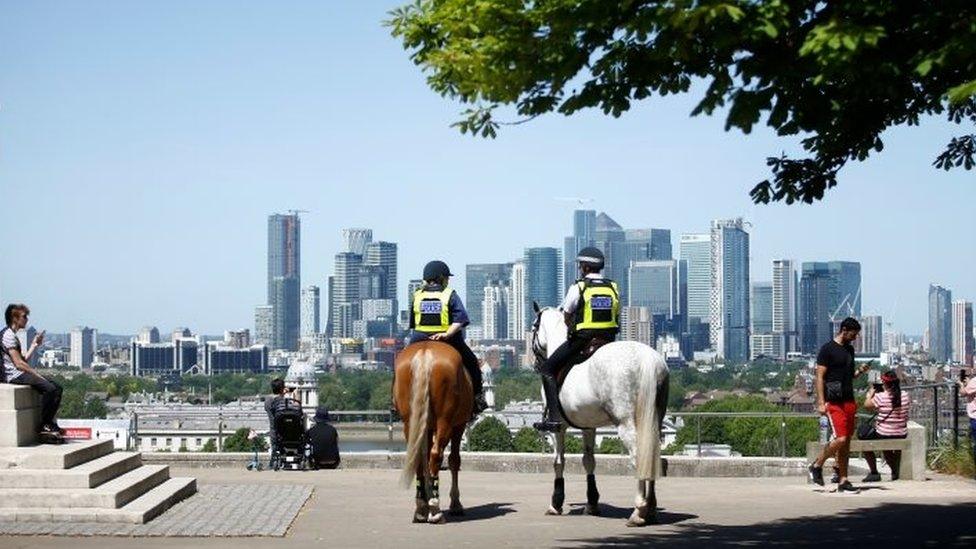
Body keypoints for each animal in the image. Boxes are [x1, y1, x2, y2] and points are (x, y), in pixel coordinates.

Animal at [394, 338, 474, 524]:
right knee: (437, 455)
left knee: (419, 455)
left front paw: (425, 501)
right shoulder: (459, 424)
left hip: (410, 421)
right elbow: (454, 461)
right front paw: (455, 503)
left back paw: (421, 509)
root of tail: (425, 352)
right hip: (445, 420)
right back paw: (435, 508)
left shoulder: (427, 426)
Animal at [528, 306, 668, 524]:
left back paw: (638, 510)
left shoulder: (558, 427)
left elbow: (559, 461)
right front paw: (592, 502)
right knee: (652, 453)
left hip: (626, 423)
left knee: (638, 457)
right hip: (654, 419)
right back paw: (651, 508)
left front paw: (556, 503)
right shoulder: (588, 425)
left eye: (534, 327)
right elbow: (589, 460)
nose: (535, 362)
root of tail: (648, 360)